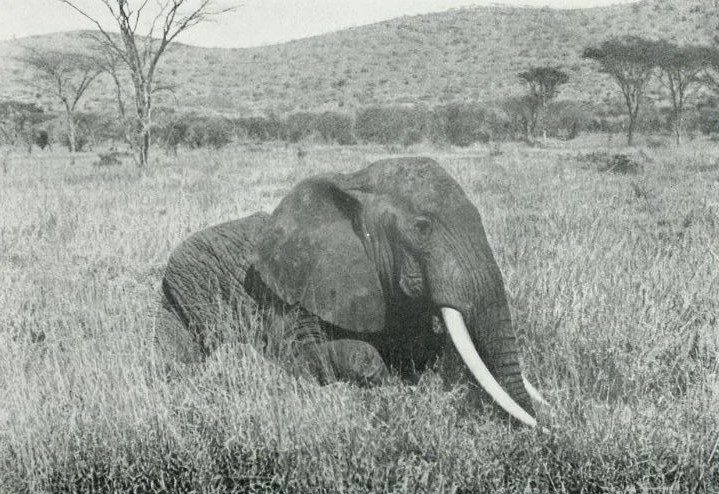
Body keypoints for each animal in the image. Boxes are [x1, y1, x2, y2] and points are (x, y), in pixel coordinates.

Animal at [158, 157, 548, 424]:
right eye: (422, 227)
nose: (542, 423)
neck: (356, 184)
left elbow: (425, 346)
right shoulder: (296, 291)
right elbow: (294, 354)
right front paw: (389, 386)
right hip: (182, 298)